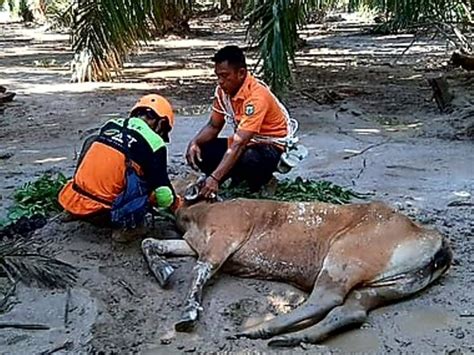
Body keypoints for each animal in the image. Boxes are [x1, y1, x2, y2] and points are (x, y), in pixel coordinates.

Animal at [141, 197, 452, 348]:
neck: (197, 216)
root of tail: (437, 242)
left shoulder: (224, 238)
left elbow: (200, 271)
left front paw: (188, 315)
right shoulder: (195, 243)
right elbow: (150, 242)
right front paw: (163, 271)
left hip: (345, 254)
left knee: (327, 298)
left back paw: (258, 330)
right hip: (392, 283)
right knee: (352, 310)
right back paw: (289, 337)